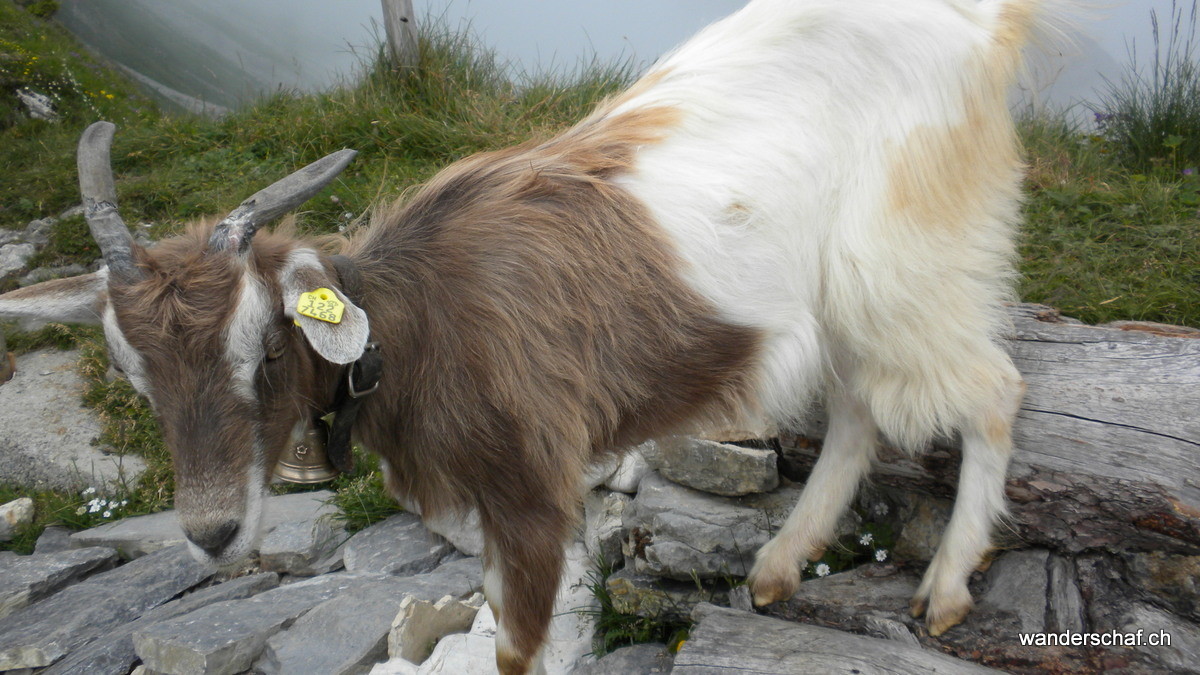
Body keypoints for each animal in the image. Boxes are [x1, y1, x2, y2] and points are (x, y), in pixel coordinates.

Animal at [2, 0, 1051, 667]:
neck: (411, 325)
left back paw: (946, 588)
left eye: (262, 346)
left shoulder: (534, 495)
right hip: (845, 304)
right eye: (131, 370)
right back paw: (778, 567)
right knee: (859, 409)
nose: (214, 533)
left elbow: (521, 650)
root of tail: (985, 25)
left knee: (990, 387)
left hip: (905, 268)